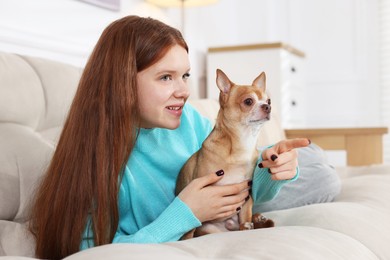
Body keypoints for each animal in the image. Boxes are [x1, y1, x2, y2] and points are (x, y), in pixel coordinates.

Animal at [176, 68, 274, 240]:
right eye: (248, 101)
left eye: (268, 101)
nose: (267, 107)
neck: (243, 143)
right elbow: (189, 232)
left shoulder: (247, 197)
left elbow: (246, 215)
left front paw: (247, 225)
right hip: (209, 229)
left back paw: (257, 219)